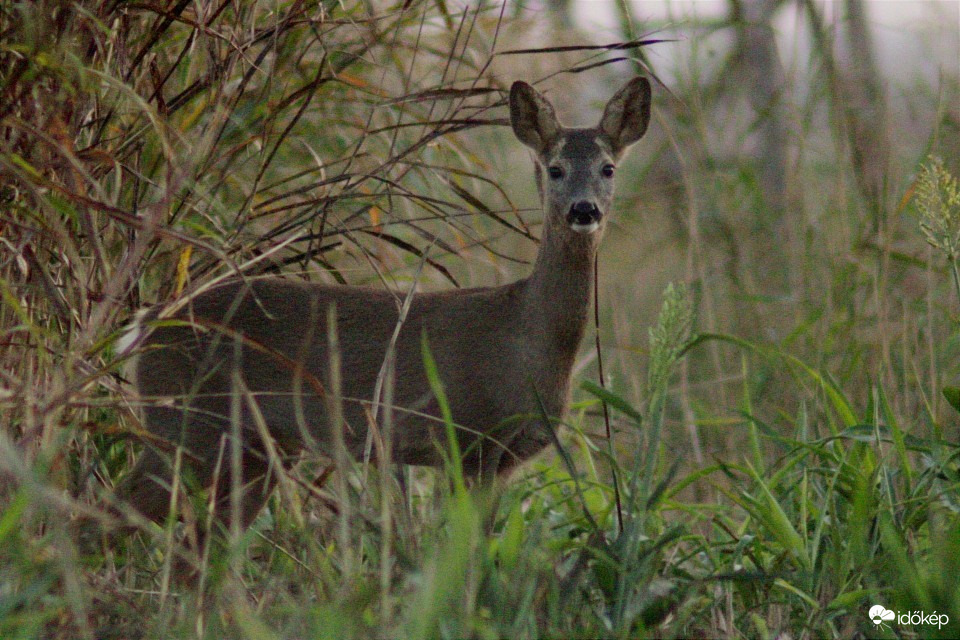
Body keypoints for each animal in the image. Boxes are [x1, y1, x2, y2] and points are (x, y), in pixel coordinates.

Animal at [114, 76, 652, 536]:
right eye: (554, 168)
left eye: (608, 169)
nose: (584, 210)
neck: (528, 339)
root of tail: (144, 324)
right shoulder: (466, 438)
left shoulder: (501, 459)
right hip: (186, 423)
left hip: (255, 451)